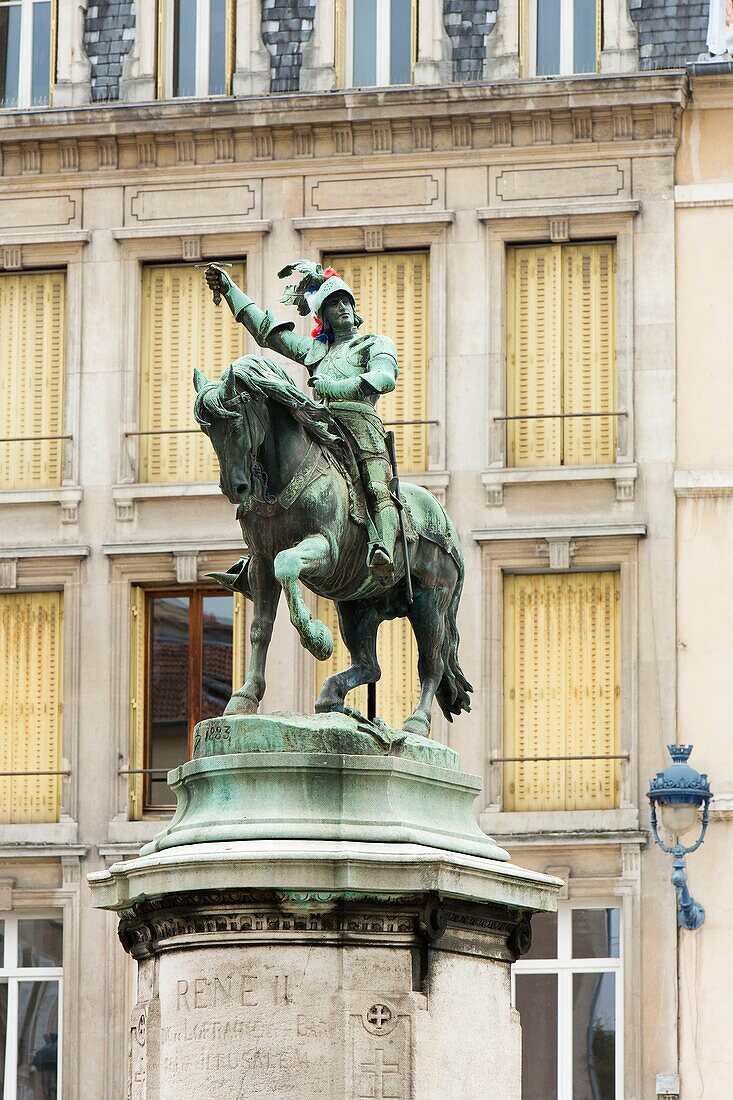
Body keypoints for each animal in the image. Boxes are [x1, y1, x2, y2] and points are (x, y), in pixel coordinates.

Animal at [191, 356, 471, 734]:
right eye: (208, 430)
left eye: (235, 423)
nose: (235, 488)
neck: (281, 477)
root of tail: (446, 524)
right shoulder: (261, 562)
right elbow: (260, 628)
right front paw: (245, 696)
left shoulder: (325, 548)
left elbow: (287, 565)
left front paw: (317, 639)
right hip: (357, 607)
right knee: (371, 666)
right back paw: (331, 696)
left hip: (430, 603)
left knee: (432, 664)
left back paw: (416, 723)